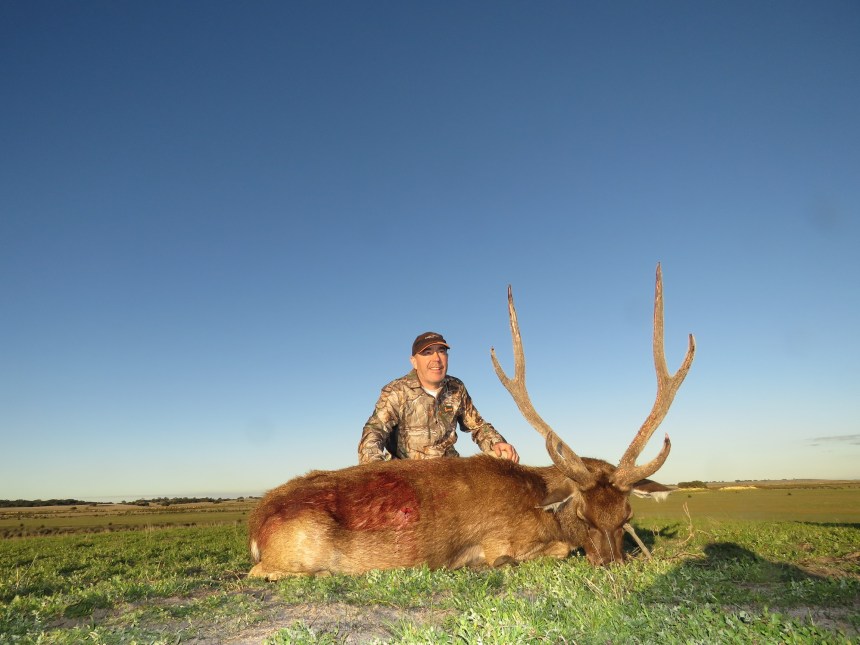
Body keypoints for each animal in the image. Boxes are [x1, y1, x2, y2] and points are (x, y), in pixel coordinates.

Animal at [247, 264, 695, 578]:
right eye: (584, 516)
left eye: (627, 517)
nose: (612, 566)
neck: (541, 501)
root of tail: (256, 524)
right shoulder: (502, 540)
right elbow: (545, 552)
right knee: (262, 571)